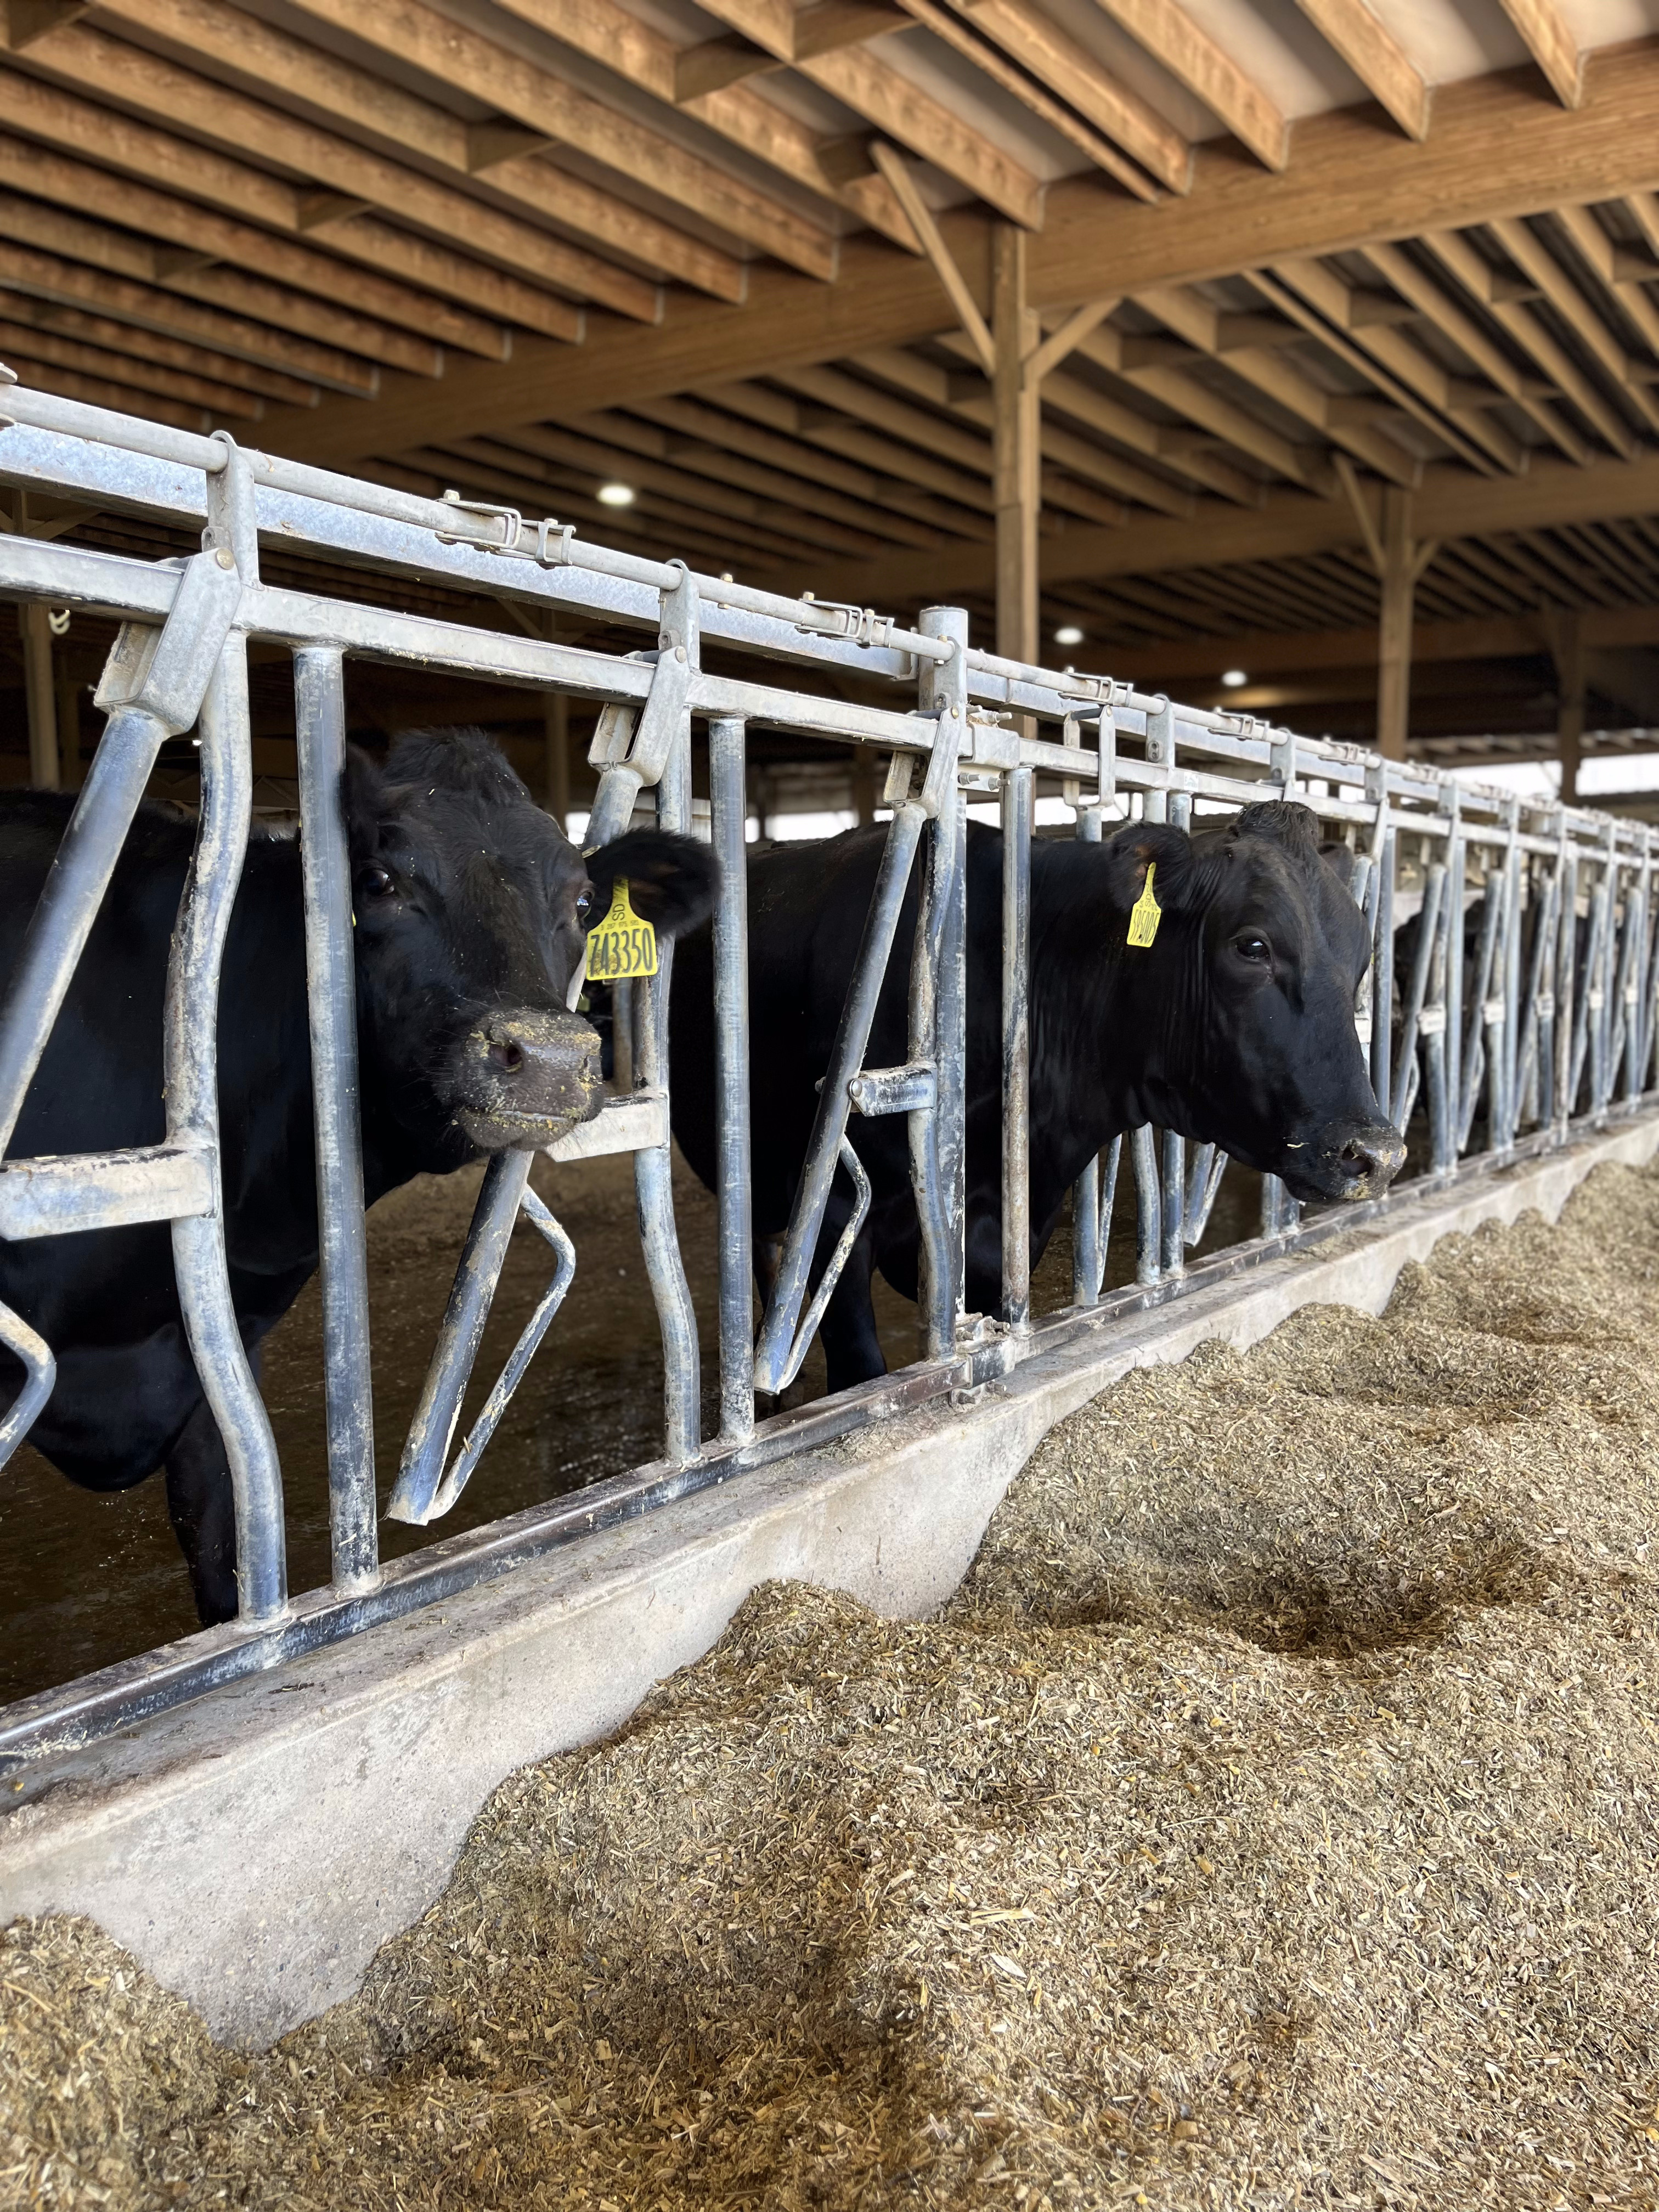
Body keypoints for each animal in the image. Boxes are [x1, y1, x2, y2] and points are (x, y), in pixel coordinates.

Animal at [669, 799, 1404, 1393]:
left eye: (1362, 961)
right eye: (1252, 945)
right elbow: (860, 1371)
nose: (1377, 1154)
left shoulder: (1016, 1231)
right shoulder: (833, 1212)